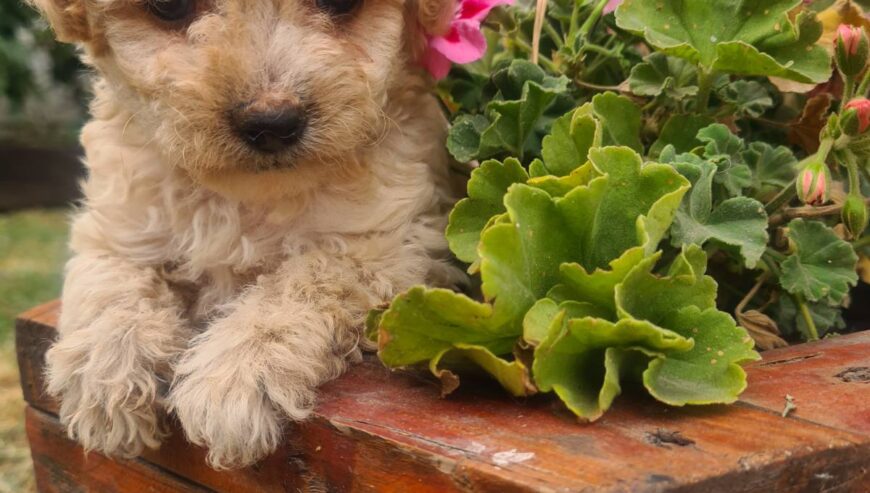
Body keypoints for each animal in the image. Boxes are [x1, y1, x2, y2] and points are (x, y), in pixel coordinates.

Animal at [27, 0, 464, 468]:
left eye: (340, 3)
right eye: (168, 6)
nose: (272, 122)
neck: (243, 196)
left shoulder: (391, 242)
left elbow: (302, 283)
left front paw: (235, 377)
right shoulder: (119, 221)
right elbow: (109, 283)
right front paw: (106, 374)